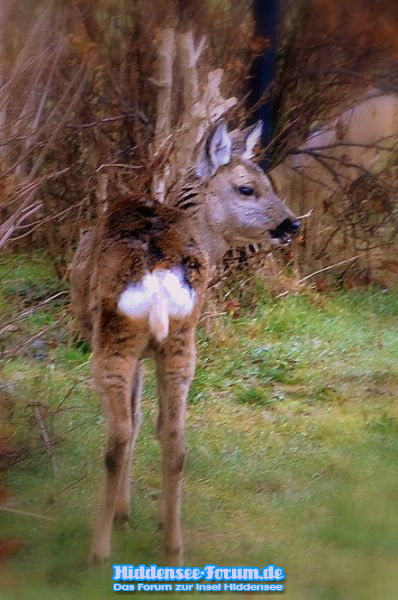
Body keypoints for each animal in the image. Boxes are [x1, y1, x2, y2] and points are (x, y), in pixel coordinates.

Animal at [69, 119, 298, 564]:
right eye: (248, 188)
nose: (291, 224)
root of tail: (157, 278)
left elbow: (135, 421)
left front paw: (123, 512)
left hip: (115, 336)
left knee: (119, 435)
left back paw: (99, 549)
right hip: (181, 340)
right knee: (176, 439)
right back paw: (172, 545)